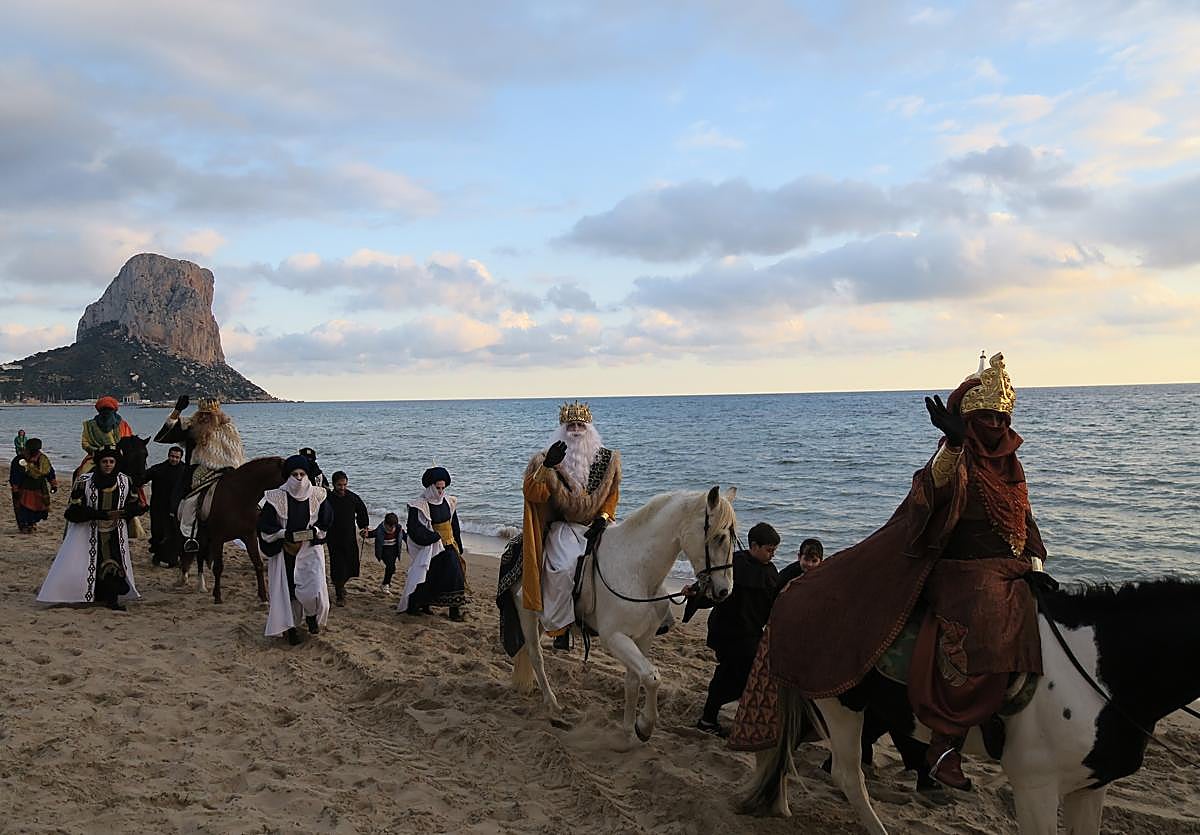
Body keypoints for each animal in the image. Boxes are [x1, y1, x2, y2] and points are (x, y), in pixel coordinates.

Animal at [178, 456, 285, 605]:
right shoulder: (218, 539)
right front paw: (217, 597)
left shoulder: (249, 536)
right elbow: (218, 567)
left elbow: (258, 564)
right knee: (197, 556)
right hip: (201, 537)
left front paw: (263, 598)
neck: (238, 497)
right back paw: (198, 584)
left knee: (200, 556)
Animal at [510, 486, 737, 747]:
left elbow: (634, 681)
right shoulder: (615, 638)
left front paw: (629, 731)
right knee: (536, 656)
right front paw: (645, 725)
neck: (636, 569)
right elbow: (652, 677)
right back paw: (551, 702)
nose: (725, 590)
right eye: (719, 537)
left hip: (541, 620)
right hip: (527, 614)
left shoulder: (643, 638)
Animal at [739, 578, 1200, 835]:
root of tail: (792, 591)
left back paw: (777, 804)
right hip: (841, 707)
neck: (1096, 669)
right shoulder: (1036, 786)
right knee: (847, 776)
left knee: (784, 746)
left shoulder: (1090, 785)